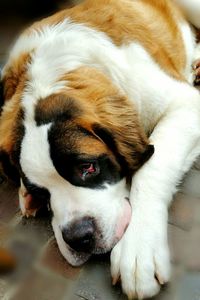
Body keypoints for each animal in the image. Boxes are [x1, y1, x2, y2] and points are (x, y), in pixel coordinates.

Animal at [0, 0, 200, 298]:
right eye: (41, 191)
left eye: (88, 167)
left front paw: (138, 248)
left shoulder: (186, 105)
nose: (79, 237)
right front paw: (26, 195)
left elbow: (152, 168)